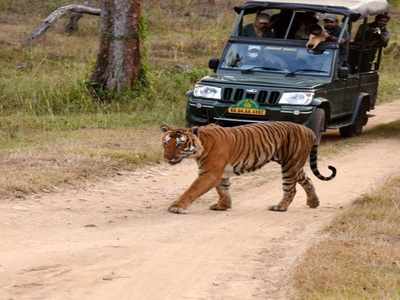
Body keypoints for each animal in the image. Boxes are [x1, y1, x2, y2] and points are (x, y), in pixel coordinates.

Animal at [161, 121, 336, 213]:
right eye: (165, 143)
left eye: (180, 144)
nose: (166, 157)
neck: (201, 145)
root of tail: (308, 129)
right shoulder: (220, 173)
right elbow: (223, 190)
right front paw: (223, 206)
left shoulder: (210, 173)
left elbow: (192, 190)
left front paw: (177, 207)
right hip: (294, 165)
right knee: (307, 180)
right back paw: (313, 202)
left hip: (290, 166)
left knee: (291, 189)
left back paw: (280, 207)